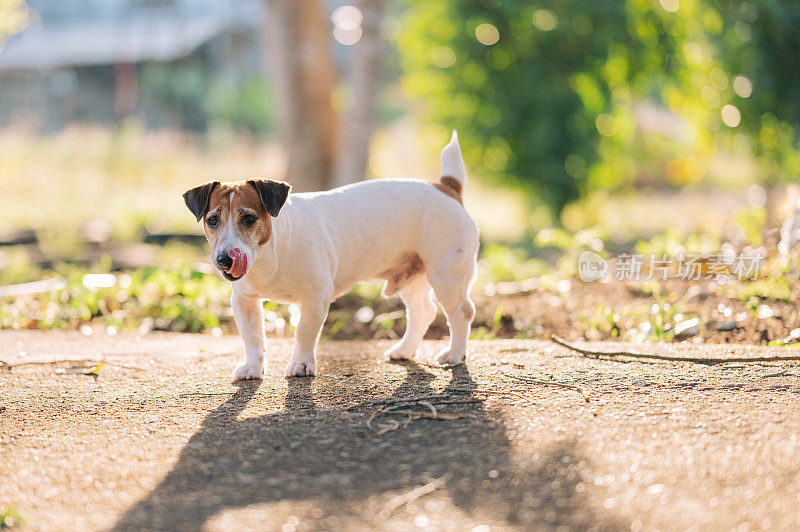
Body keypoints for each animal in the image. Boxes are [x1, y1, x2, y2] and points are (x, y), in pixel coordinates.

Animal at [184, 132, 478, 378]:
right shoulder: (244, 302)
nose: (225, 260)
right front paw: (253, 368)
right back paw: (404, 350)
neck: (271, 253)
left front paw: (301, 364)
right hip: (412, 277)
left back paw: (454, 355)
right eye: (212, 220)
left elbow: (304, 331)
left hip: (446, 275)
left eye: (248, 218)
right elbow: (253, 337)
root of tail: (446, 187)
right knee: (422, 312)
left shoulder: (315, 297)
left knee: (461, 312)